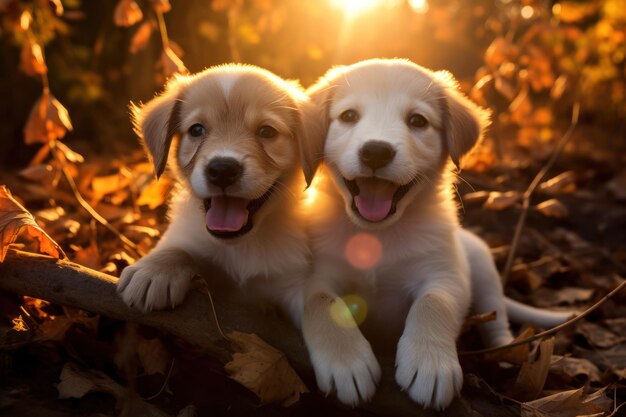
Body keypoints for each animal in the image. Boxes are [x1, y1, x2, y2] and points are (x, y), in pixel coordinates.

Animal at [298, 59, 572, 410]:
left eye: (417, 121)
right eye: (348, 116)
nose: (376, 151)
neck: (378, 236)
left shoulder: (446, 274)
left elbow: (434, 302)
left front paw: (429, 364)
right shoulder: (314, 274)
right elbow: (322, 302)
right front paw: (345, 362)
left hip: (482, 265)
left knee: (496, 317)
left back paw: (506, 351)